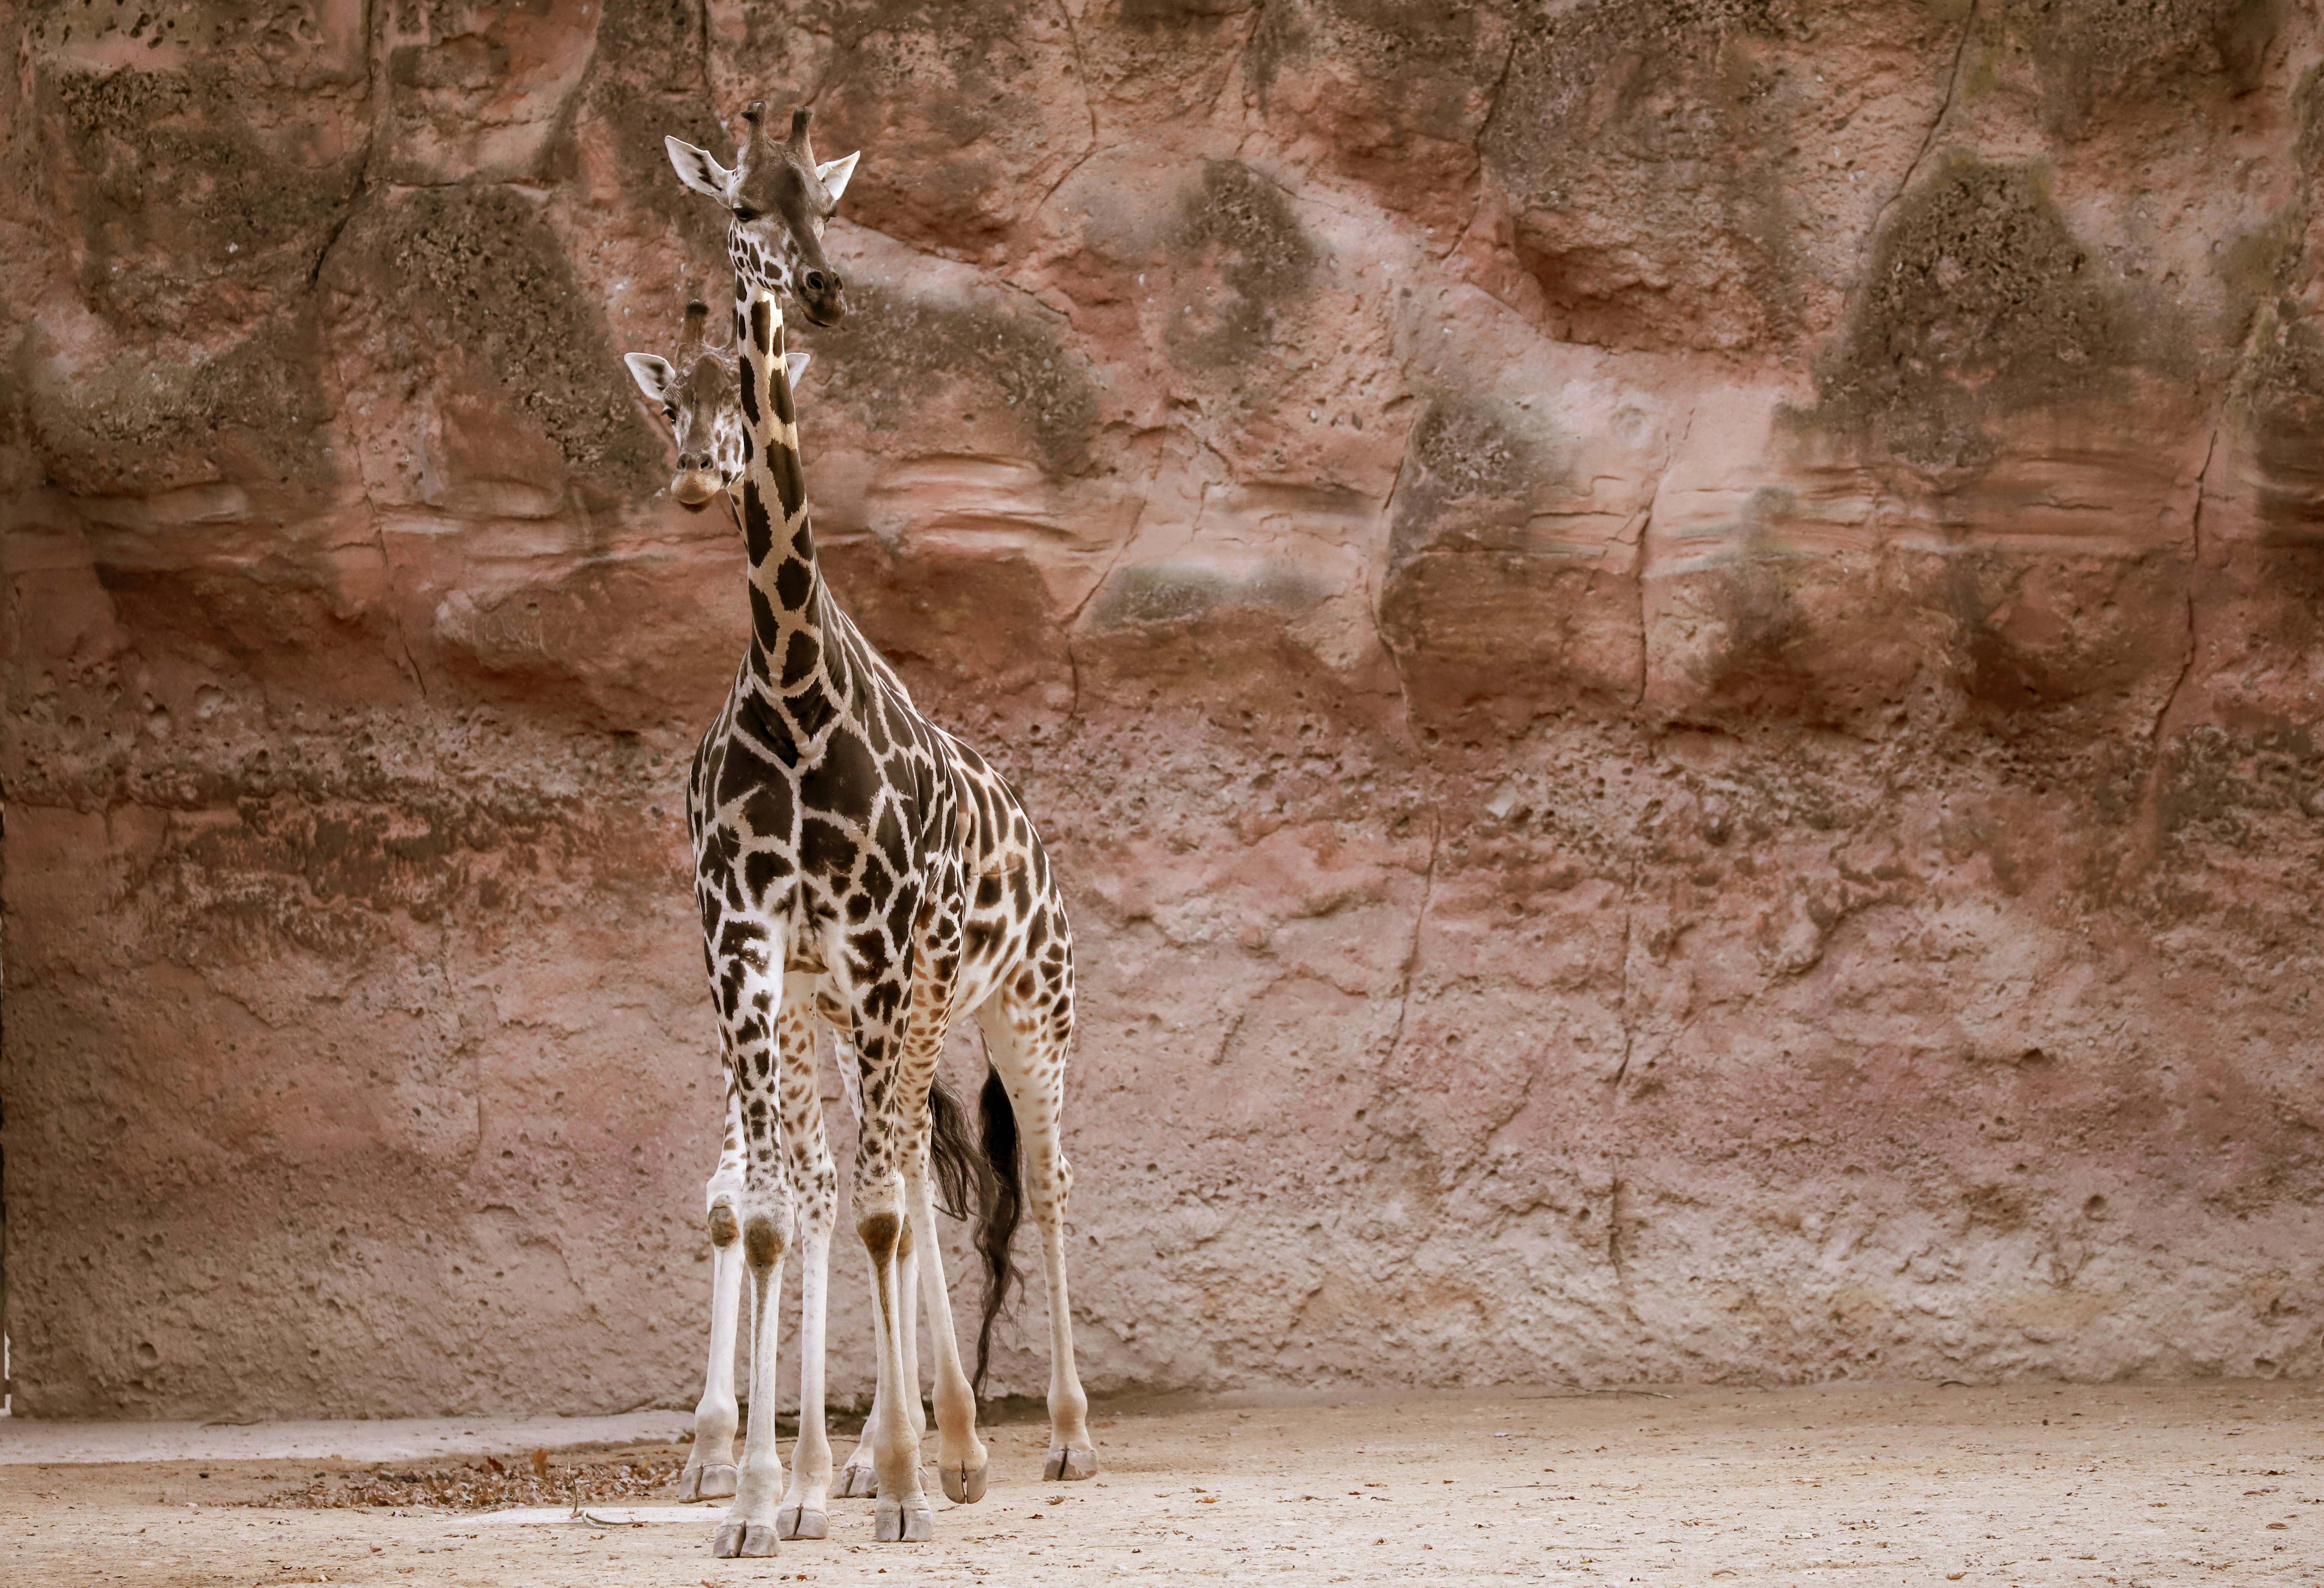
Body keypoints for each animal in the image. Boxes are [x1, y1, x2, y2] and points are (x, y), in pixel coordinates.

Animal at [665, 100, 1096, 1554]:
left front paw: (905, 1476)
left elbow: (876, 1211)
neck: (795, 683)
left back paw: (1055, 1437)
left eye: (829, 202)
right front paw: (763, 1496)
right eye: (742, 208)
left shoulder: (879, 954)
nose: (822, 290)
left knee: (1040, 1182)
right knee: (866, 1186)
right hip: (876, 1009)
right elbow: (771, 1214)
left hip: (1025, 1006)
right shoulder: (752, 952)